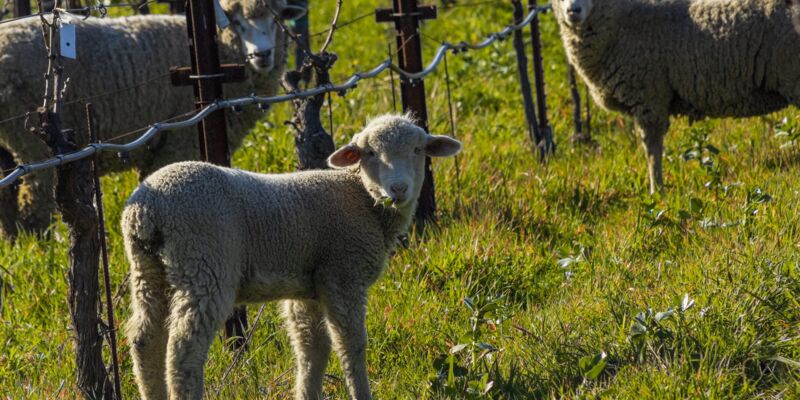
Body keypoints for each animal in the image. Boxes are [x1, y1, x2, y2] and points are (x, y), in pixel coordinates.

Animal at [0, 0, 305, 238]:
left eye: (275, 19)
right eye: (237, 22)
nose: (262, 54)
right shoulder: (180, 140)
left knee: (9, 202)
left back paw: (17, 242)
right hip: (34, 144)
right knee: (33, 202)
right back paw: (41, 247)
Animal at [121, 114, 462, 400]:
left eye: (418, 150)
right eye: (369, 153)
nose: (398, 189)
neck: (362, 198)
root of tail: (147, 208)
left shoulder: (308, 288)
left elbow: (313, 349)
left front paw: (308, 392)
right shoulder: (343, 273)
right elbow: (351, 344)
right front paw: (361, 393)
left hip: (148, 270)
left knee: (144, 340)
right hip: (204, 263)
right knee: (184, 349)